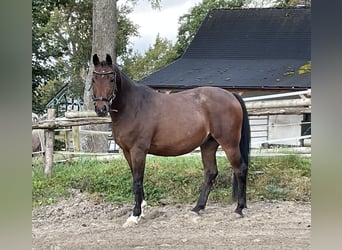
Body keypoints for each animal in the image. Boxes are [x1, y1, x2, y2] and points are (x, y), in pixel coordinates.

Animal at [90, 54, 251, 227]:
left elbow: (137, 181)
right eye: (94, 79)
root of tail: (231, 95)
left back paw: (239, 209)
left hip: (229, 143)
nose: (101, 108)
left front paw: (135, 215)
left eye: (111, 79)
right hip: (208, 145)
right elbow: (135, 177)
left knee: (240, 169)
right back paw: (197, 208)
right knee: (211, 173)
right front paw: (142, 208)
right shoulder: (127, 152)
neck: (133, 106)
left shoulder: (138, 151)